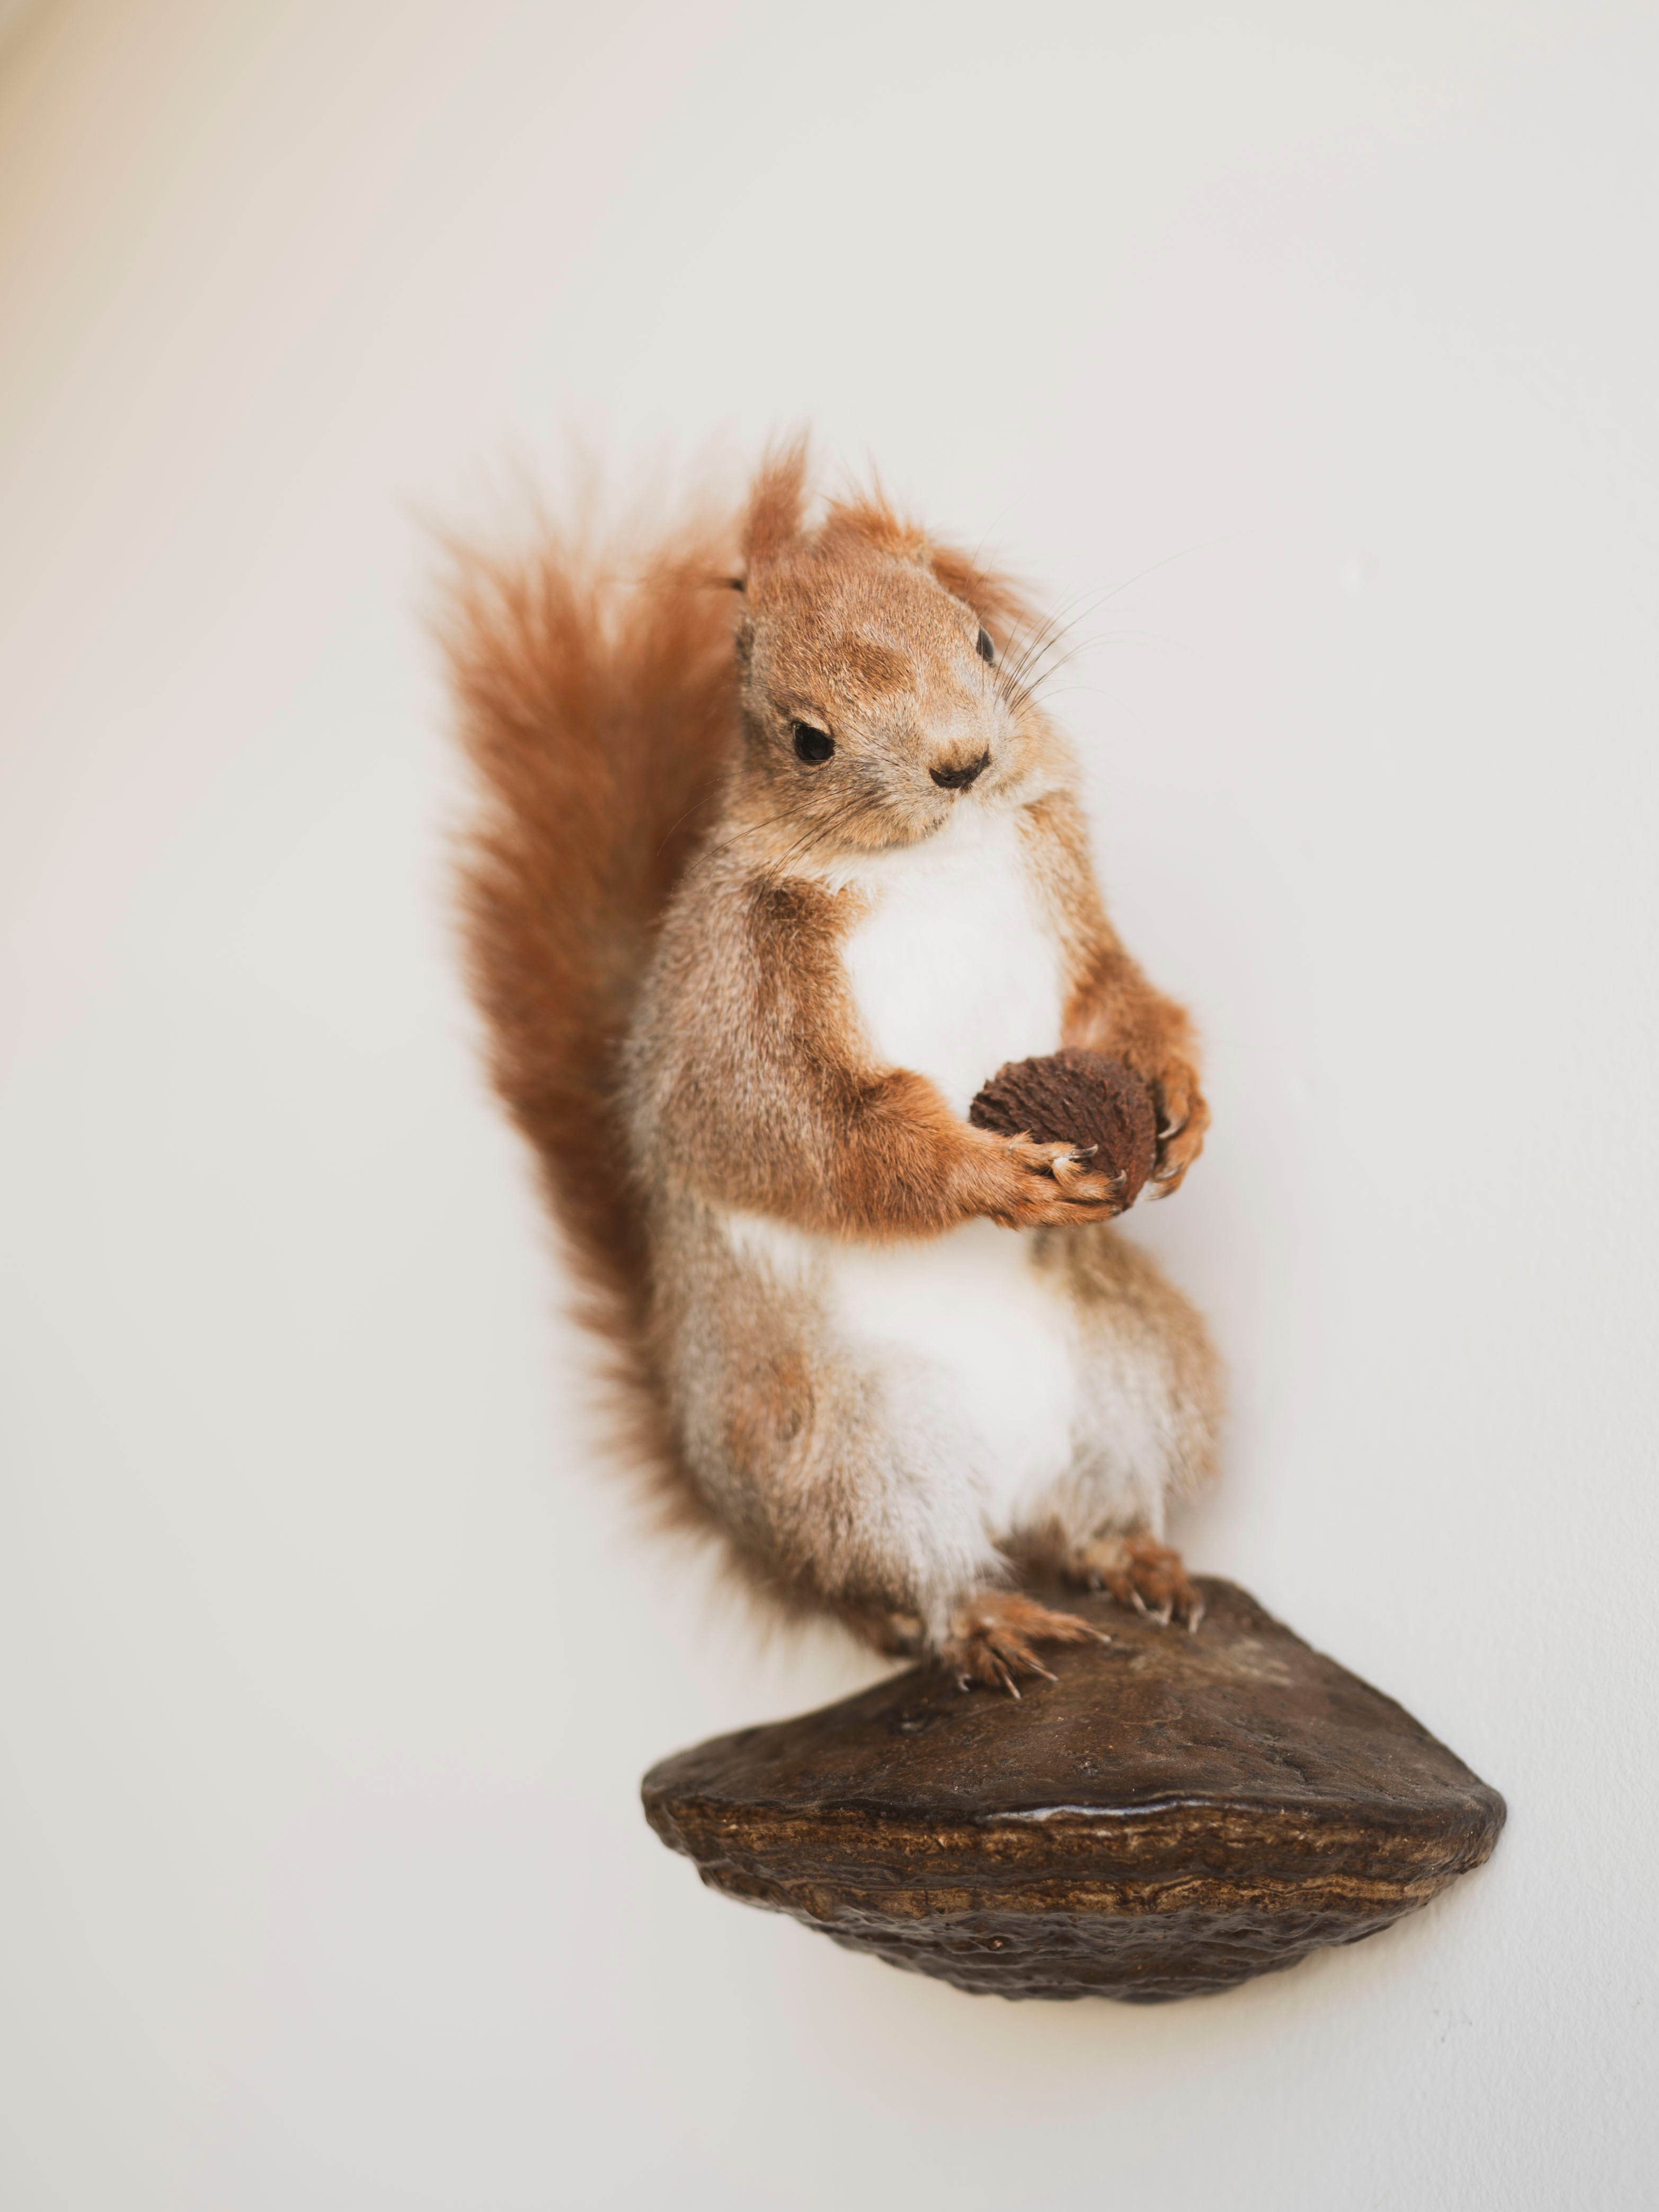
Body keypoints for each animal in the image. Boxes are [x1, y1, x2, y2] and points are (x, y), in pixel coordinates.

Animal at [445, 444, 1221, 1694]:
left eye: (981, 642)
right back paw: (977, 1618)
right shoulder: (736, 1007)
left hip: (1138, 1364)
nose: (963, 761)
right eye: (804, 737)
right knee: (914, 1580)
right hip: (842, 1456)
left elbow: (1118, 998)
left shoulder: (1069, 915)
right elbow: (803, 1131)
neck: (934, 857)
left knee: (1084, 1512)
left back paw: (1131, 1555)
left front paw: (1182, 1101)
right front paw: (990, 1175)